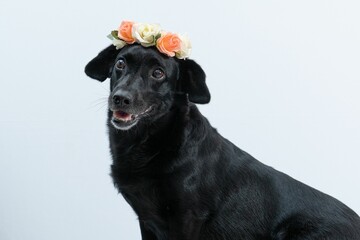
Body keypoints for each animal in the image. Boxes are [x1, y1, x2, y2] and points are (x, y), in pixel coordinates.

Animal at [85, 44, 360, 239]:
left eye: (158, 73)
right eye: (120, 63)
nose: (121, 98)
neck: (151, 142)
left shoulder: (187, 217)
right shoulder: (147, 220)